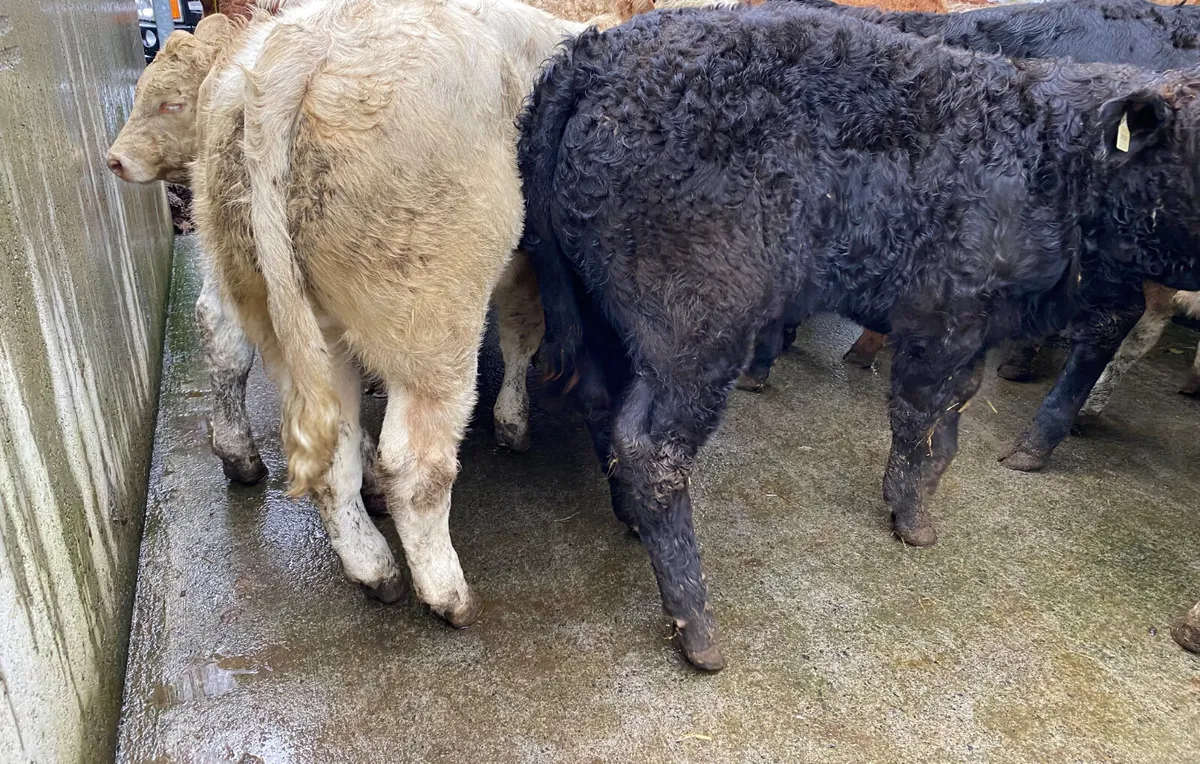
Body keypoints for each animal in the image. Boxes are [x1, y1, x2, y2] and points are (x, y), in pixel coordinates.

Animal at [108, 0, 584, 618]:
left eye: (169, 102)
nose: (115, 161)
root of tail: (300, 46)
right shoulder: (526, 268)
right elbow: (521, 337)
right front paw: (514, 421)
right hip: (433, 324)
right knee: (415, 466)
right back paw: (447, 594)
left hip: (289, 317)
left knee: (304, 423)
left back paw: (366, 560)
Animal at [517, 4, 1200, 669]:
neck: (1054, 157)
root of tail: (598, 53)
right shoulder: (941, 312)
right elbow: (919, 414)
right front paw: (909, 514)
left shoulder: (978, 325)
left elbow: (952, 416)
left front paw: (923, 506)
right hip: (698, 324)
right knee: (653, 449)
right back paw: (698, 629)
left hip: (601, 311)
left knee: (601, 404)